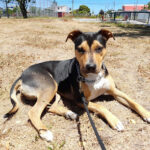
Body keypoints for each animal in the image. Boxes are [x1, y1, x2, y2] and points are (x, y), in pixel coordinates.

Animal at [3, 29, 150, 142]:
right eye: (80, 49)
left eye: (99, 48)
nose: (90, 67)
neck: (94, 77)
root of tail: (22, 75)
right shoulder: (81, 99)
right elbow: (100, 106)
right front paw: (115, 121)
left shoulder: (114, 91)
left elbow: (133, 101)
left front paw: (146, 114)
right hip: (50, 86)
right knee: (34, 111)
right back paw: (45, 132)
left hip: (55, 92)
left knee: (50, 107)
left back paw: (69, 113)